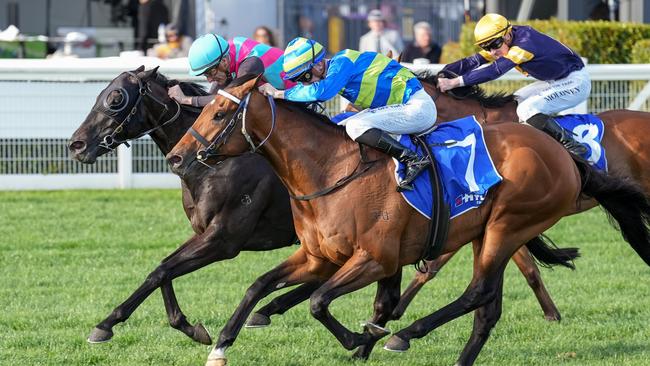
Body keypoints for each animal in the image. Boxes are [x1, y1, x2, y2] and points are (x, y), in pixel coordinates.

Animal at [165, 76, 648, 364]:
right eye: (202, 108)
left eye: (220, 113)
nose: (176, 157)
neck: (331, 170)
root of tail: (565, 155)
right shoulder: (318, 256)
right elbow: (258, 285)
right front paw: (220, 344)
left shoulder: (375, 258)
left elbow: (320, 302)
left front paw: (361, 339)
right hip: (491, 231)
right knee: (487, 306)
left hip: (508, 225)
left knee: (477, 293)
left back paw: (407, 334)